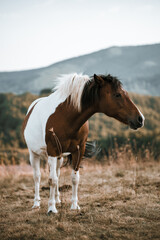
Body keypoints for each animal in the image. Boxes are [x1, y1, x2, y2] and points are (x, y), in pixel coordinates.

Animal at [22, 73, 144, 214]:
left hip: (59, 157)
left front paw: (74, 206)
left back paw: (57, 200)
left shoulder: (78, 150)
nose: (140, 119)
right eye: (117, 94)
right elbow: (52, 180)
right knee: (37, 177)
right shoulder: (52, 151)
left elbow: (74, 179)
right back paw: (36, 203)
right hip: (34, 154)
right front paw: (51, 209)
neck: (65, 116)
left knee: (57, 173)